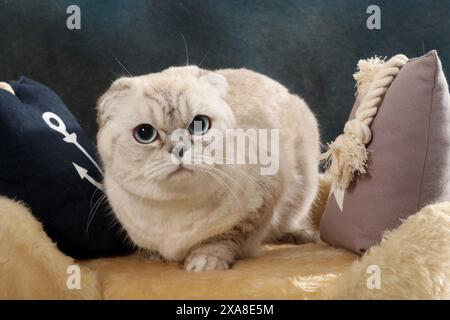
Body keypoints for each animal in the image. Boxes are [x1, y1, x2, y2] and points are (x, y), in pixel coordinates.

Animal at [97, 66, 320, 272]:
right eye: (144, 133)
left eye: (199, 124)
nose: (179, 149)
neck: (176, 211)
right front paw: (154, 256)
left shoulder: (257, 207)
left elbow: (219, 240)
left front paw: (204, 263)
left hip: (304, 187)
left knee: (293, 220)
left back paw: (300, 236)